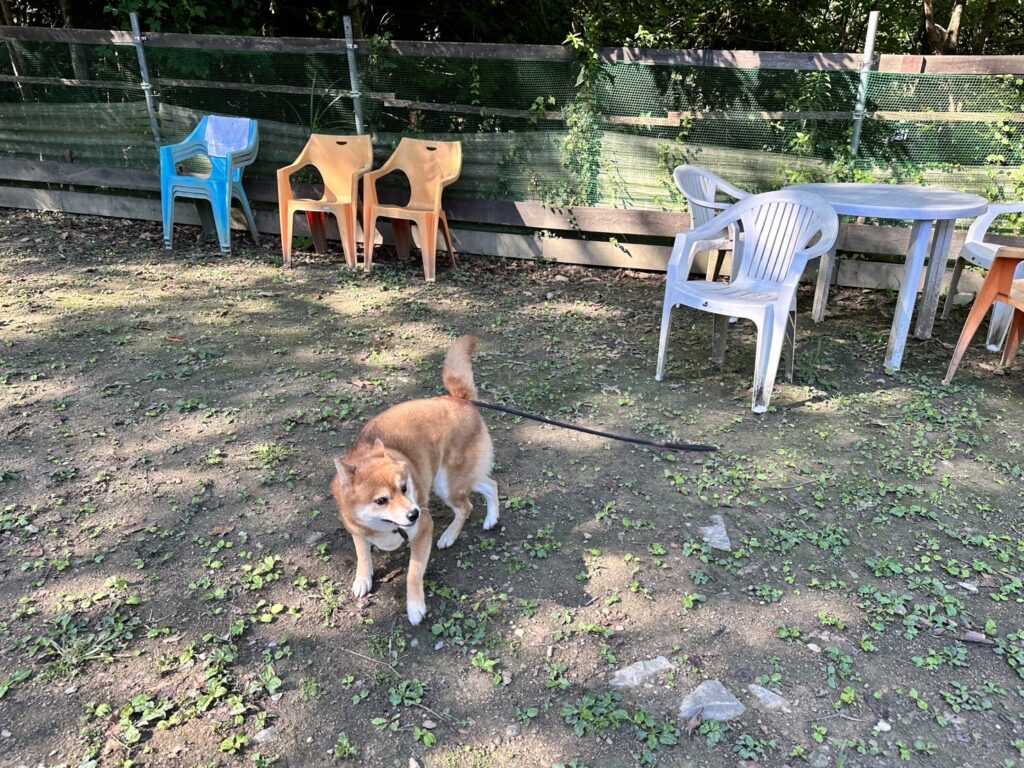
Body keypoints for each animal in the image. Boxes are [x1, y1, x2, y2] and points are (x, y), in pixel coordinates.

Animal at [331, 335, 499, 625]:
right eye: (381, 500)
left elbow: (413, 572)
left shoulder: (423, 530)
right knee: (490, 485)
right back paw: (491, 518)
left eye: (404, 487)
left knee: (466, 507)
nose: (414, 513)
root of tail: (458, 399)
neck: (384, 526)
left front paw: (414, 606)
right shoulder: (356, 529)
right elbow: (362, 553)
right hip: (459, 477)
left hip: (447, 484)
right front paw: (362, 579)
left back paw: (449, 536)